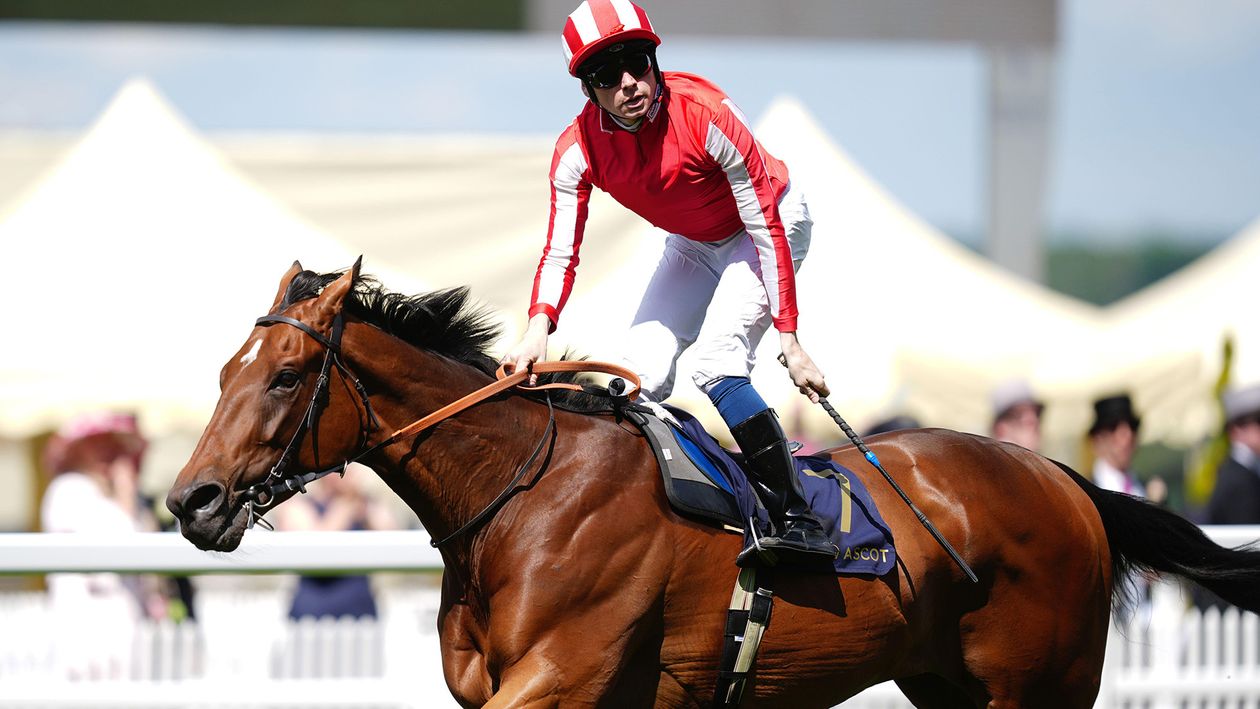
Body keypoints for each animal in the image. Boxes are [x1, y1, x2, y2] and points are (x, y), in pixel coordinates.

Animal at [167, 261, 1260, 709]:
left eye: (285, 375)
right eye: (220, 372)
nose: (191, 501)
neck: (519, 495)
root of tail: (1066, 480)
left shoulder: (564, 674)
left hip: (1044, 686)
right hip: (947, 682)